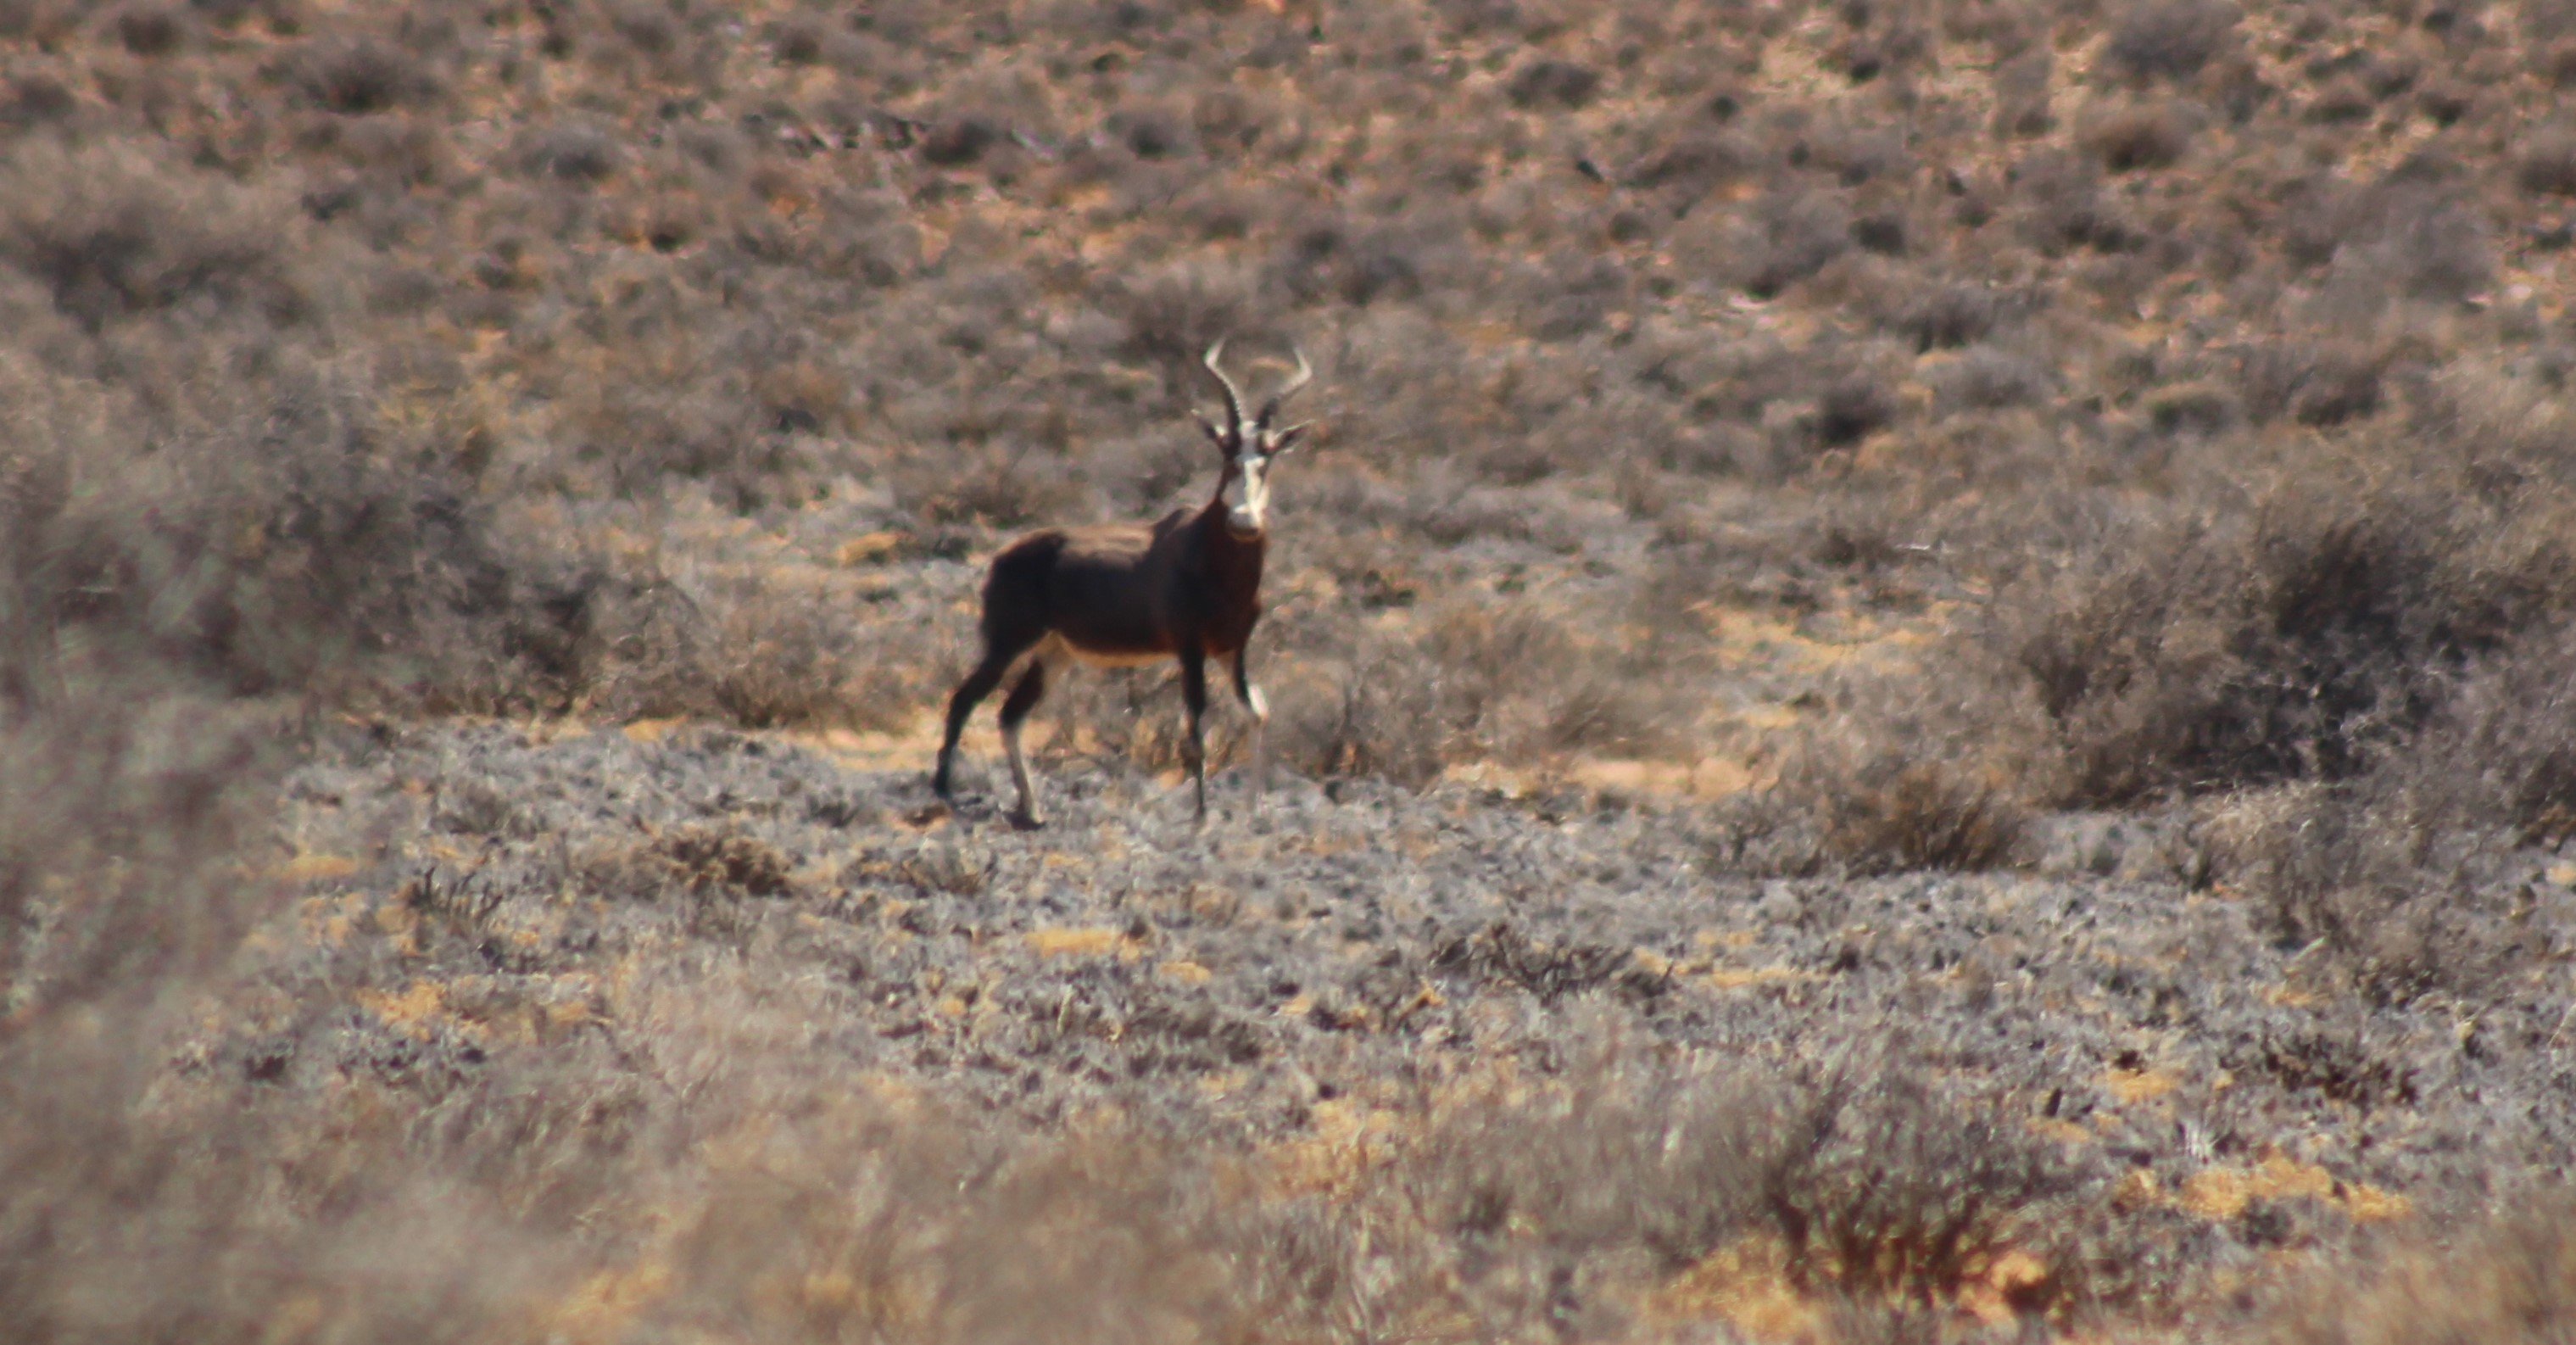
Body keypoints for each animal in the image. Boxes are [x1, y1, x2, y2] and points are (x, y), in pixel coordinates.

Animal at [937, 332, 1319, 824]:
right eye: (1227, 454)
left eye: (1265, 459)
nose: (1244, 522)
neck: (1205, 553)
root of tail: (1003, 557)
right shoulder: (1189, 649)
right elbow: (1196, 722)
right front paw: (1201, 816)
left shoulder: (1233, 650)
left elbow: (1256, 712)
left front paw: (1253, 809)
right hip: (1008, 641)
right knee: (964, 699)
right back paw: (944, 793)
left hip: (1054, 653)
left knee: (1010, 715)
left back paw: (1034, 812)